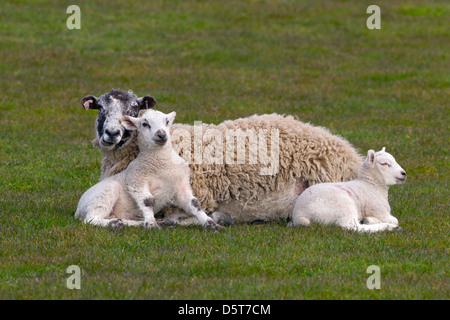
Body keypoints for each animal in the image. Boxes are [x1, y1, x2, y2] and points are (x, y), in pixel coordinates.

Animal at [75, 110, 221, 230]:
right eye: (145, 124)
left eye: (167, 122)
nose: (161, 134)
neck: (162, 165)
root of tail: (78, 210)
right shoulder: (137, 180)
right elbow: (147, 201)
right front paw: (151, 224)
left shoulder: (181, 186)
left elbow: (195, 204)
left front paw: (210, 223)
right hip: (103, 194)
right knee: (91, 219)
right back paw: (115, 224)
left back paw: (132, 223)